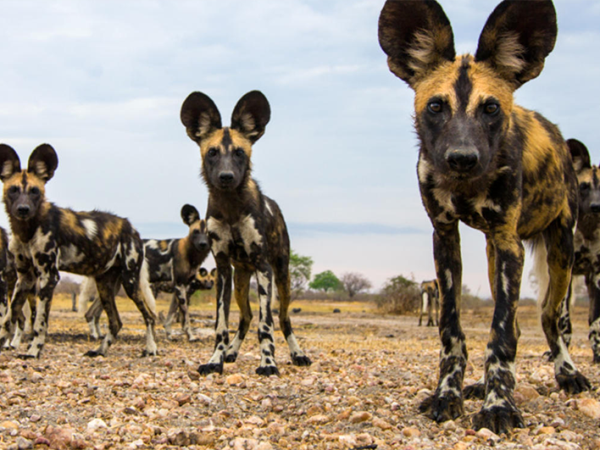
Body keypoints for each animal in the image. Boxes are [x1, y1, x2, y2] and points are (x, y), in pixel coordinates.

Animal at [0, 144, 158, 358]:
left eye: (34, 191)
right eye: (13, 190)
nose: (23, 209)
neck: (27, 230)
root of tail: (132, 229)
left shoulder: (49, 276)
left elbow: (39, 323)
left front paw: (33, 351)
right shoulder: (24, 279)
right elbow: (8, 318)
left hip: (130, 282)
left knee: (149, 316)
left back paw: (150, 349)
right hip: (104, 285)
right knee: (116, 322)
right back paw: (100, 350)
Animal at [82, 204, 213, 342]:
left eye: (209, 234)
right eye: (196, 232)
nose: (203, 244)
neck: (190, 253)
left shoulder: (178, 290)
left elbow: (170, 317)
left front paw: (169, 335)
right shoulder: (180, 287)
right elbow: (185, 317)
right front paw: (191, 336)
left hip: (113, 287)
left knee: (91, 313)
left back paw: (99, 336)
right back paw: (96, 336)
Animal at [179, 89, 312, 374]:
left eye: (240, 153)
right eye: (213, 152)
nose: (226, 176)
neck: (231, 207)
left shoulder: (264, 267)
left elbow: (266, 324)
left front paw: (268, 363)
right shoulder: (222, 270)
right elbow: (221, 324)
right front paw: (215, 360)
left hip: (282, 277)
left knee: (283, 319)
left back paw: (298, 354)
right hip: (240, 281)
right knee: (246, 317)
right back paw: (231, 352)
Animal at [380, 0, 592, 434]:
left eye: (491, 108)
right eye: (436, 106)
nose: (462, 158)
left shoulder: (511, 243)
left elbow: (501, 334)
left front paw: (499, 407)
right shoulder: (445, 238)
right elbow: (452, 330)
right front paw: (449, 394)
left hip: (558, 251)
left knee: (550, 319)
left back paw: (567, 373)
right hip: (496, 257)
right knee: (519, 322)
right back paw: (482, 384)